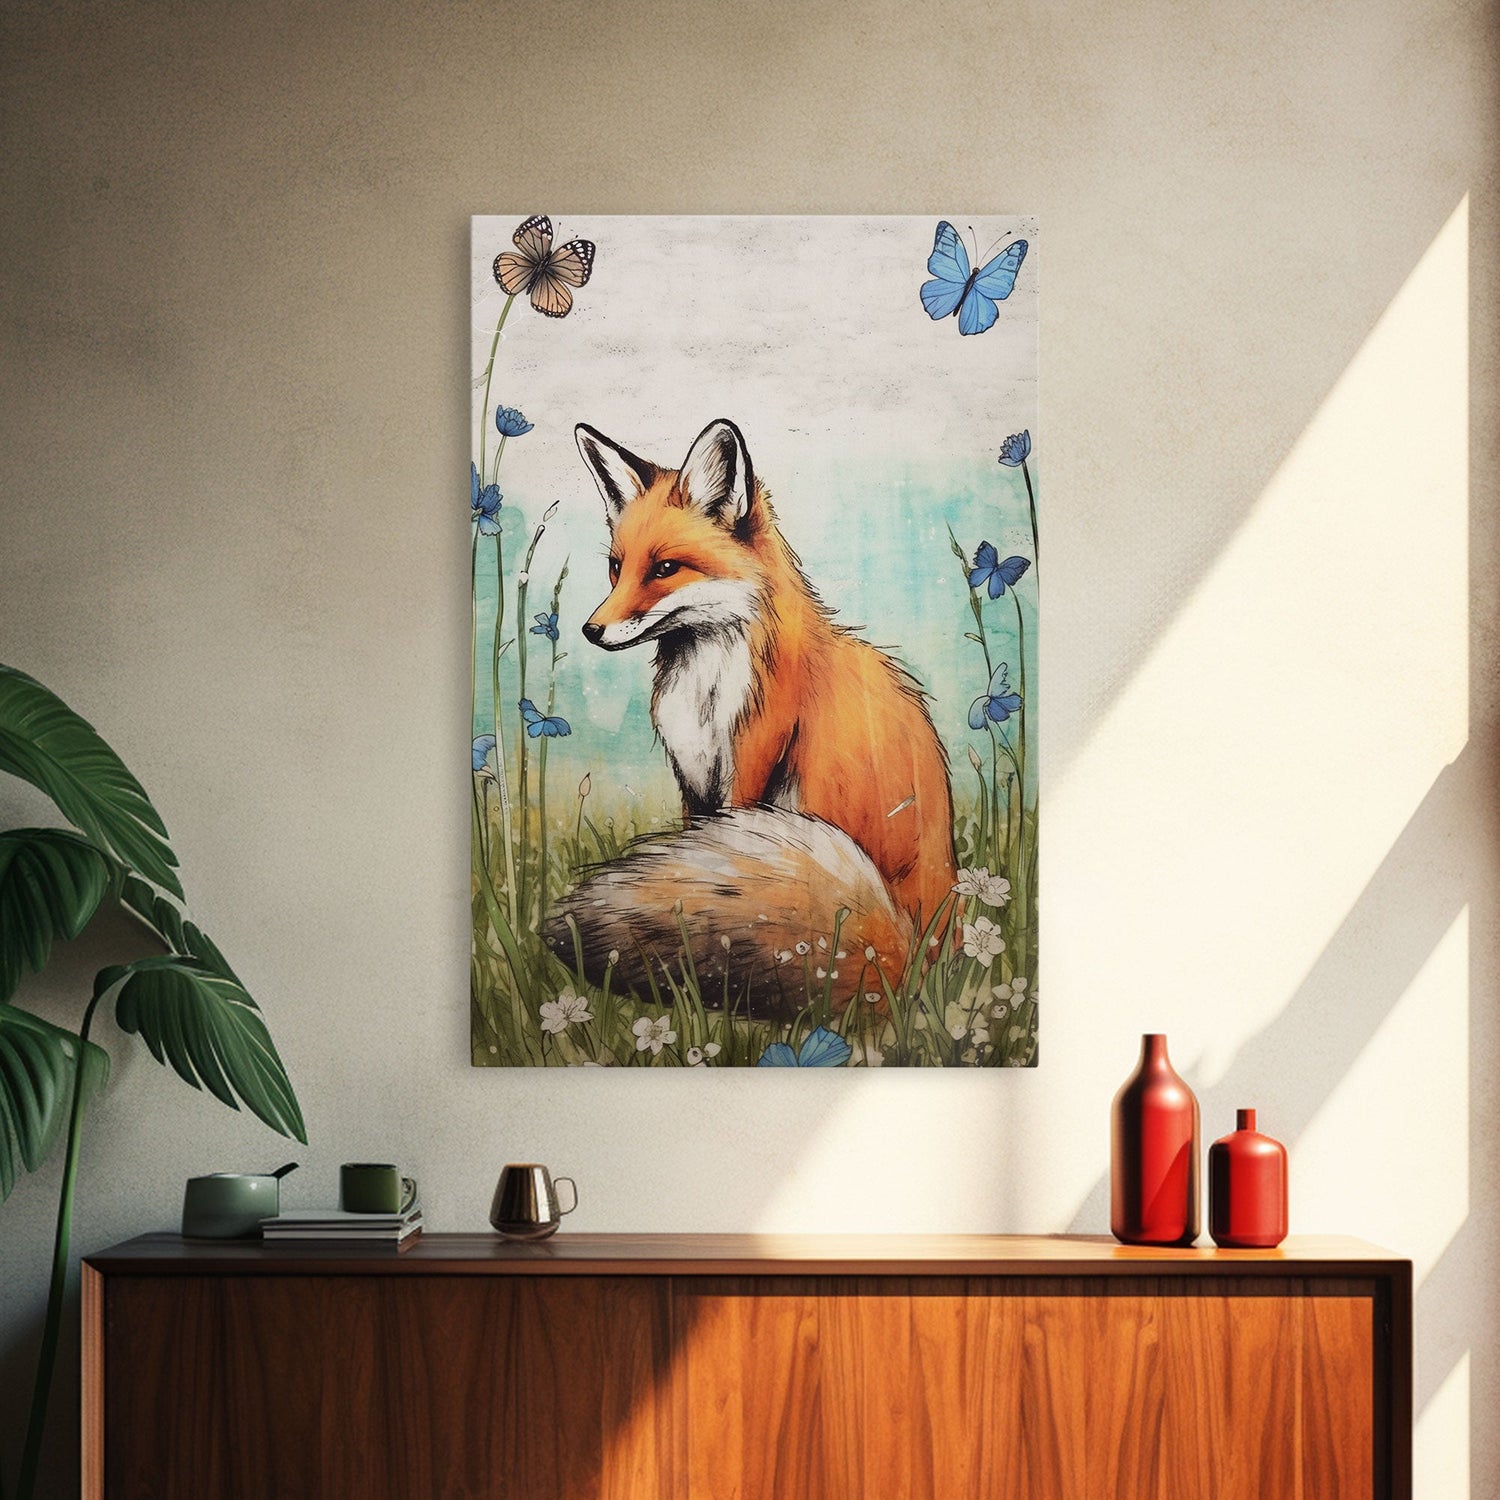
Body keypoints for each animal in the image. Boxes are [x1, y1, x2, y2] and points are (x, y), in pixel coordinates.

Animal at [544, 418, 958, 1019]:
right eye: (616, 568)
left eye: (664, 569)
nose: (590, 630)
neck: (705, 690)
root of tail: (913, 959)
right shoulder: (693, 782)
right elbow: (689, 856)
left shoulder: (750, 766)